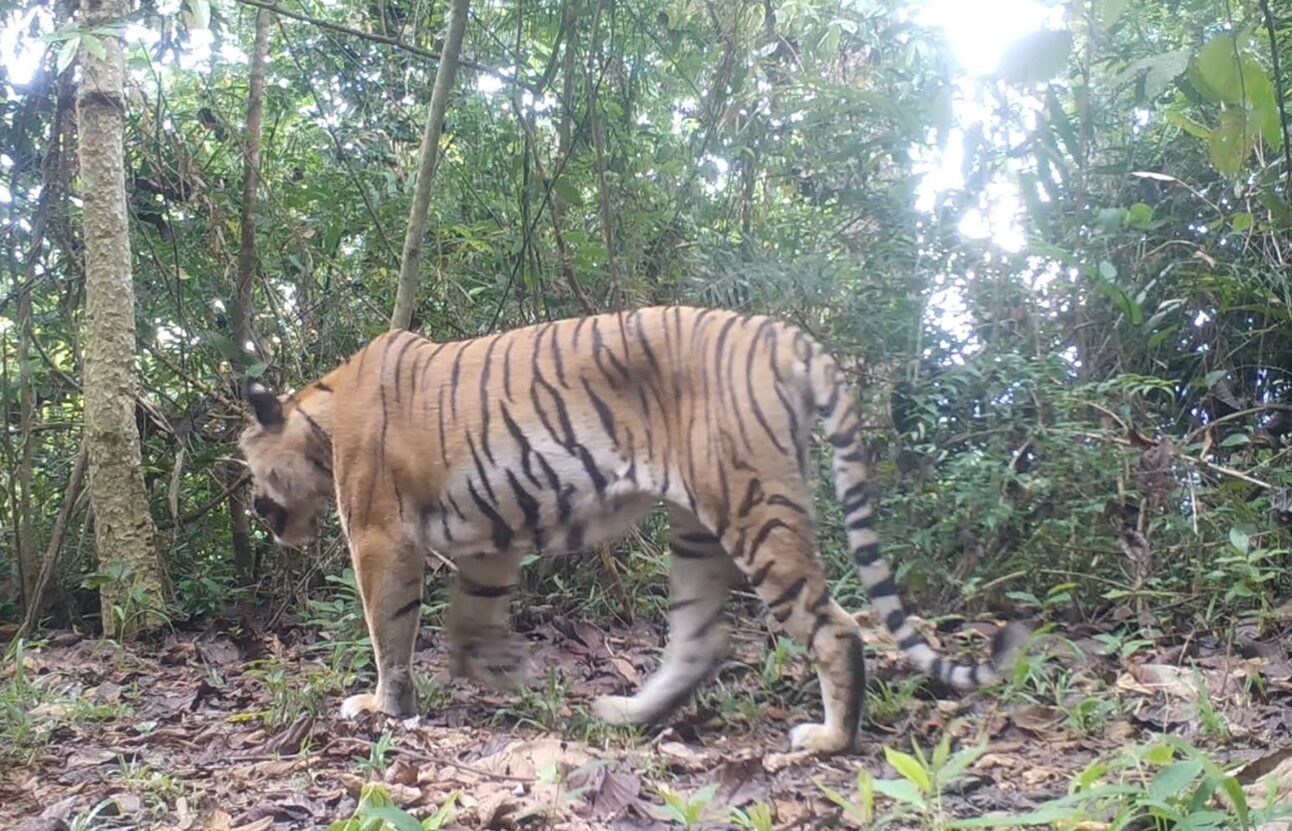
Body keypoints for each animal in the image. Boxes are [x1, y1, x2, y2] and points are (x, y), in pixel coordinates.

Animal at [238, 306, 1026, 754]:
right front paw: (498, 670)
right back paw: (626, 712)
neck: (321, 414)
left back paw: (829, 740)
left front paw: (383, 705)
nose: (253, 508)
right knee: (700, 639)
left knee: (834, 626)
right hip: (696, 527)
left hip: (753, 506)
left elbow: (389, 629)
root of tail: (785, 335)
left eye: (250, 466)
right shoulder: (491, 538)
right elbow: (470, 618)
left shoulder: (379, 537)